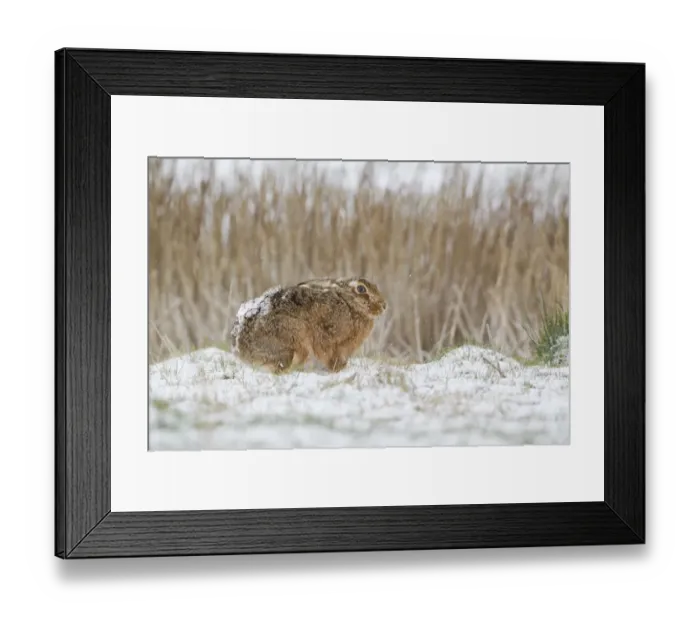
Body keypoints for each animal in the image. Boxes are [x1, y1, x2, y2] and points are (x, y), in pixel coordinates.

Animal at [230, 277, 387, 374]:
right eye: (361, 289)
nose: (384, 306)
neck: (350, 303)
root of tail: (241, 349)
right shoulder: (328, 337)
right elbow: (327, 353)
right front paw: (338, 369)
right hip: (292, 343)